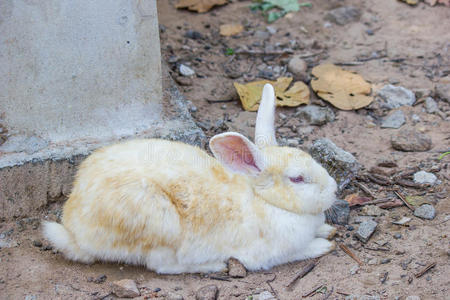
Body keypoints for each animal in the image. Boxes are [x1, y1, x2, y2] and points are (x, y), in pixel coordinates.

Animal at [43, 83, 338, 274]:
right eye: (297, 179)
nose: (334, 190)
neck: (263, 200)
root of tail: (74, 230)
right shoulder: (266, 254)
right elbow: (302, 250)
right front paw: (323, 244)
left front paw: (327, 230)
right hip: (161, 226)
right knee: (163, 266)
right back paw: (215, 265)